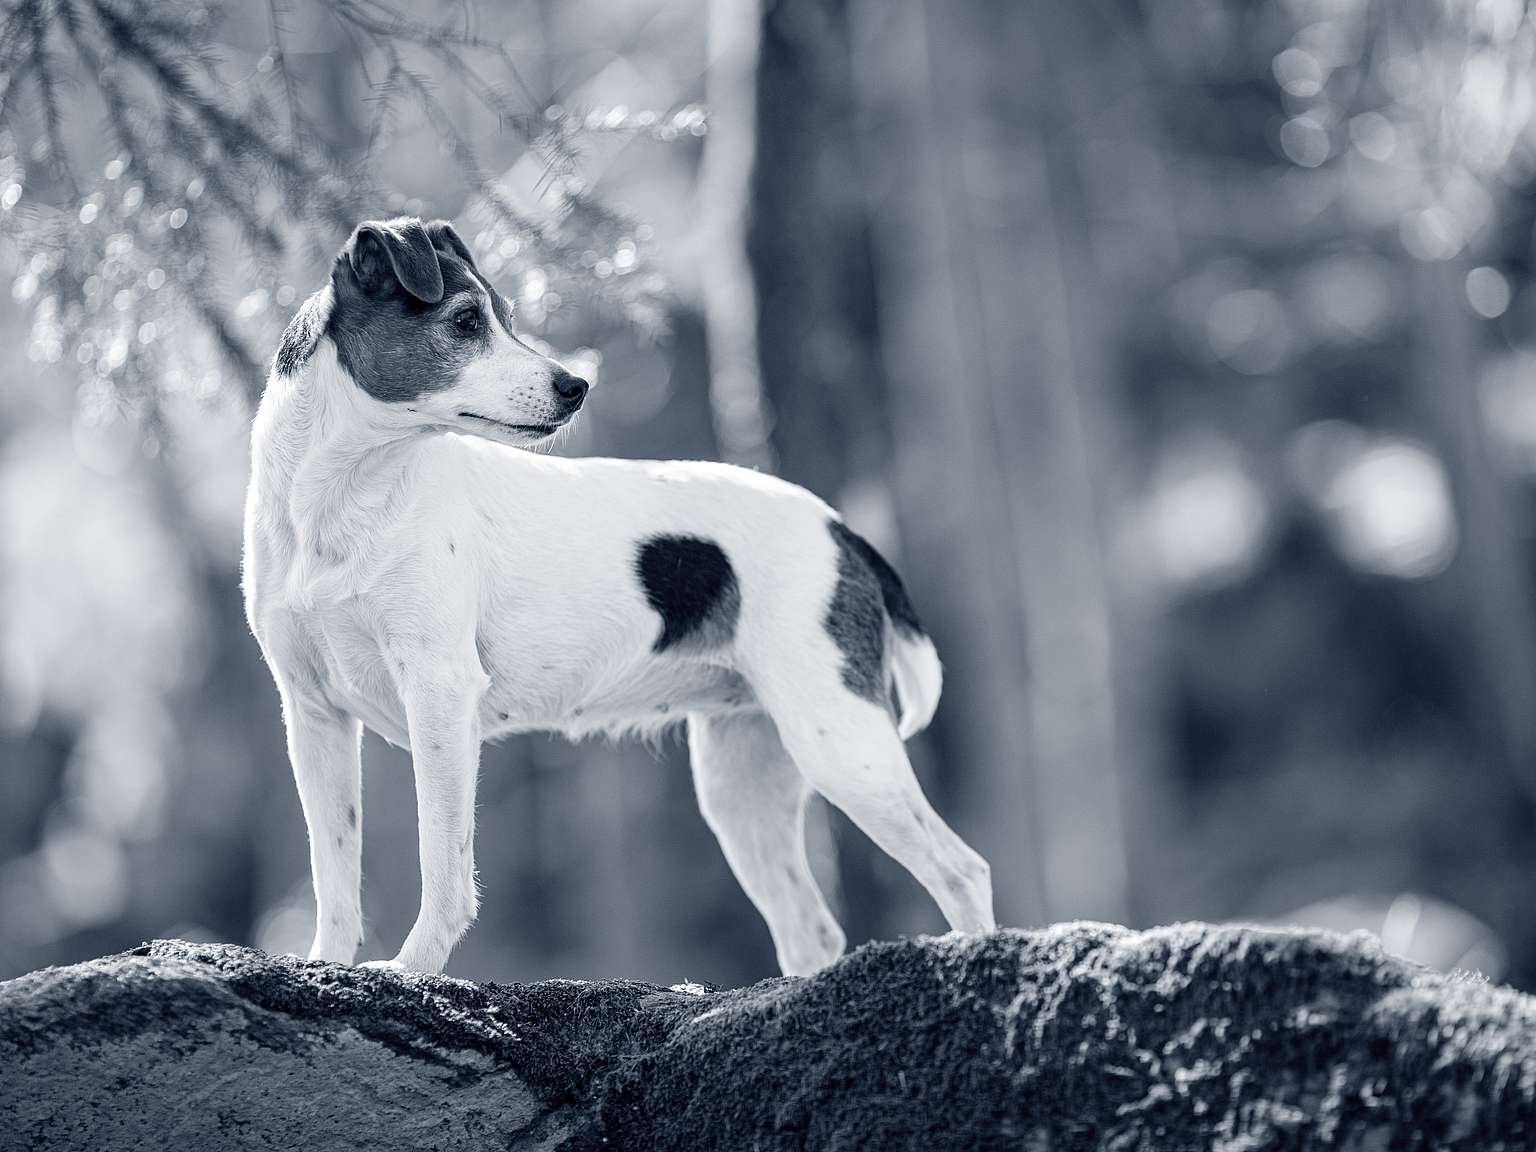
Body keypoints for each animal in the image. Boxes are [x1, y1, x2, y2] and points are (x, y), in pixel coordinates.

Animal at [239, 215, 995, 976]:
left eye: (505, 317)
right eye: (464, 321)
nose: (576, 385)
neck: (344, 498)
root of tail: (842, 530)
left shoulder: (440, 693)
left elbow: (443, 867)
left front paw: (413, 970)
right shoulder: (314, 714)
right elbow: (334, 872)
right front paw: (325, 963)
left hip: (841, 742)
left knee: (963, 871)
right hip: (744, 780)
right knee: (813, 928)